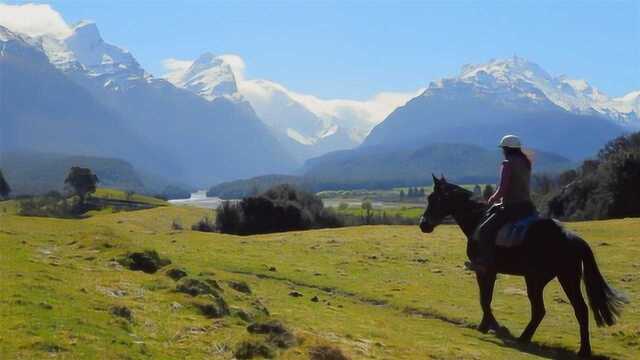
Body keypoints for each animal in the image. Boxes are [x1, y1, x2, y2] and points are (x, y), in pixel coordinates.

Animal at [418, 174, 628, 358]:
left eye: (433, 198)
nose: (423, 224)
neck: (478, 219)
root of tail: (574, 239)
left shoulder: (485, 270)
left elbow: (484, 299)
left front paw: (493, 327)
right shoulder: (490, 272)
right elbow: (486, 299)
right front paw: (489, 326)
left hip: (558, 278)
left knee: (572, 310)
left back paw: (577, 349)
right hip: (544, 279)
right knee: (549, 311)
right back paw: (531, 339)